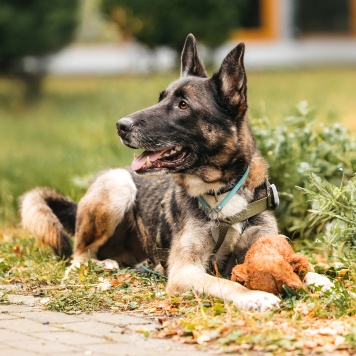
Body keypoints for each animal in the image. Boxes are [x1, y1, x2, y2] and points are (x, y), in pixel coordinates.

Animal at [20, 34, 330, 312]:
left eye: (183, 105)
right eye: (160, 99)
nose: (120, 126)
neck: (222, 190)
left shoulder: (261, 242)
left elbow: (303, 267)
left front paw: (317, 278)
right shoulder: (185, 269)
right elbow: (226, 283)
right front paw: (255, 296)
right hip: (118, 185)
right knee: (79, 255)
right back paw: (103, 264)